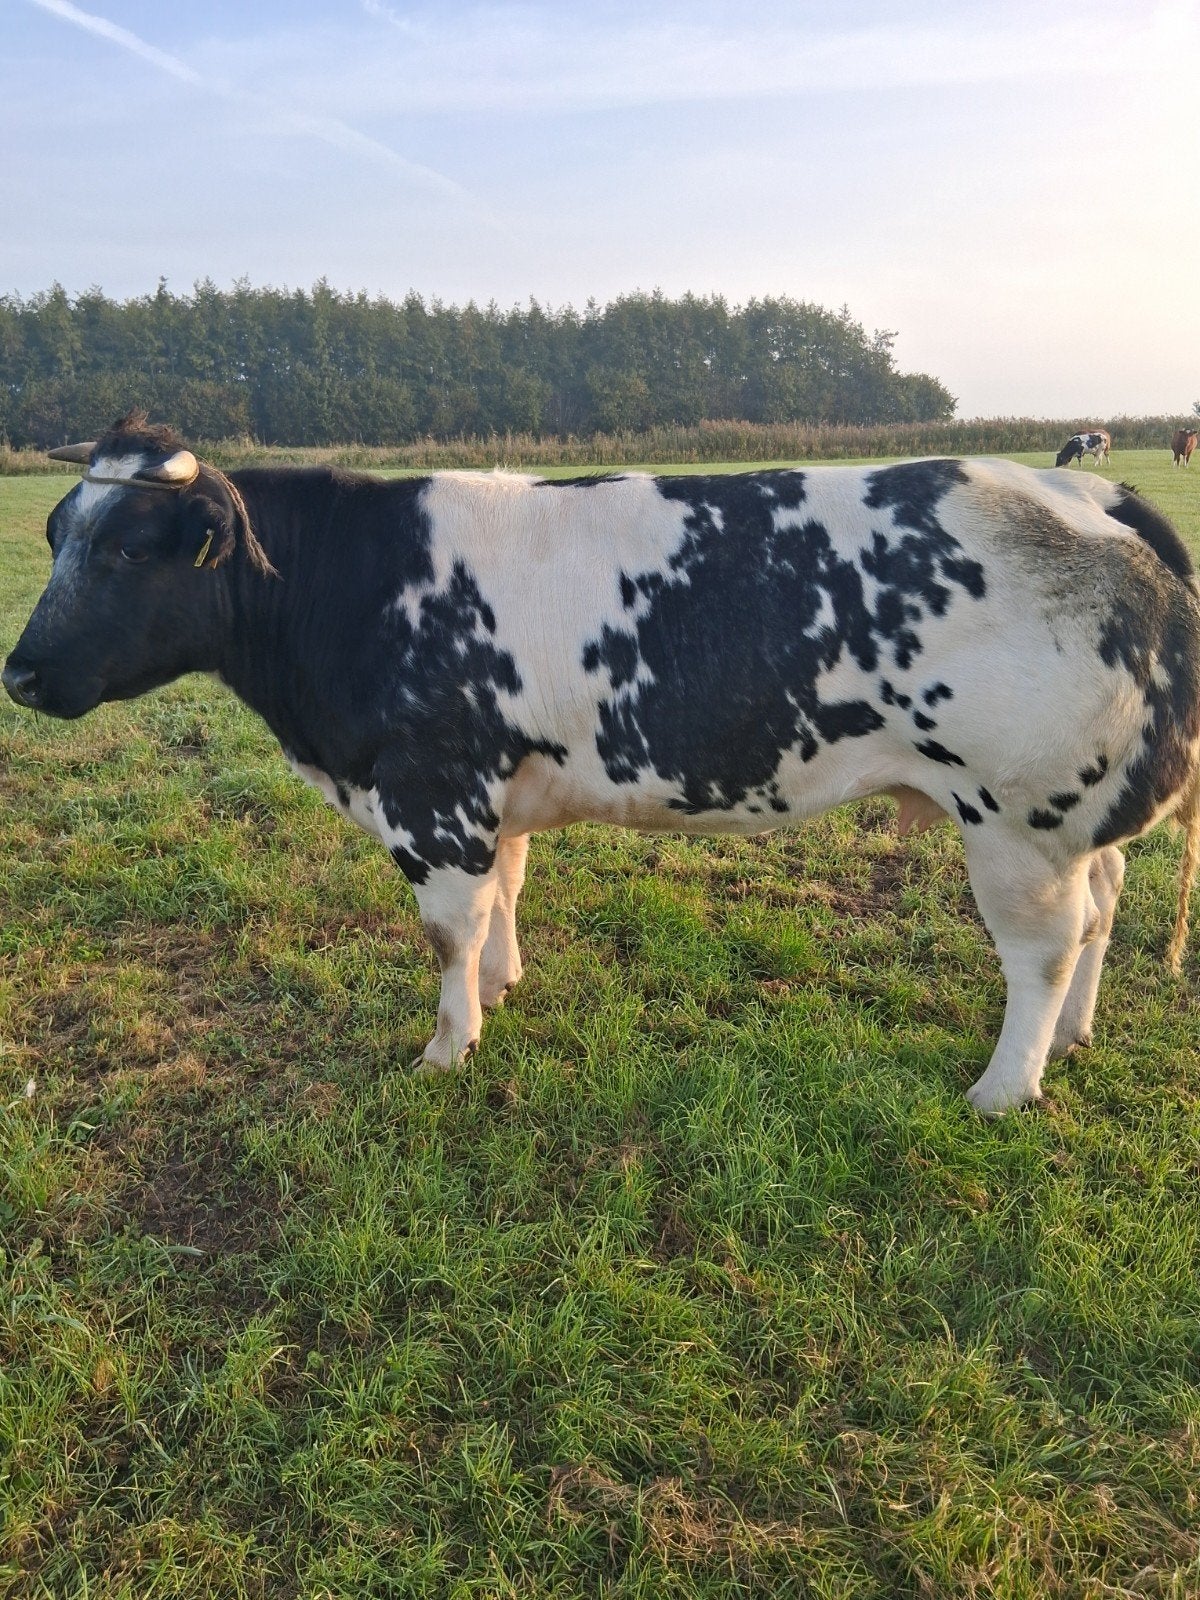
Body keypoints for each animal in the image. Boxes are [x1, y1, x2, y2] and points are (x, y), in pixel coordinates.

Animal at [5, 414, 1200, 1117]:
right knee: (1105, 902)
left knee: (1043, 950)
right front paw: (502, 987)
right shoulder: (492, 791)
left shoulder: (431, 791)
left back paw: (1006, 1086)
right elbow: (503, 895)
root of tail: (1082, 495)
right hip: (1064, 822)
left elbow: (449, 929)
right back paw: (1078, 1037)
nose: (18, 672)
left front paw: (448, 1046)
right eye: (57, 534)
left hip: (1016, 818)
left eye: (129, 548)